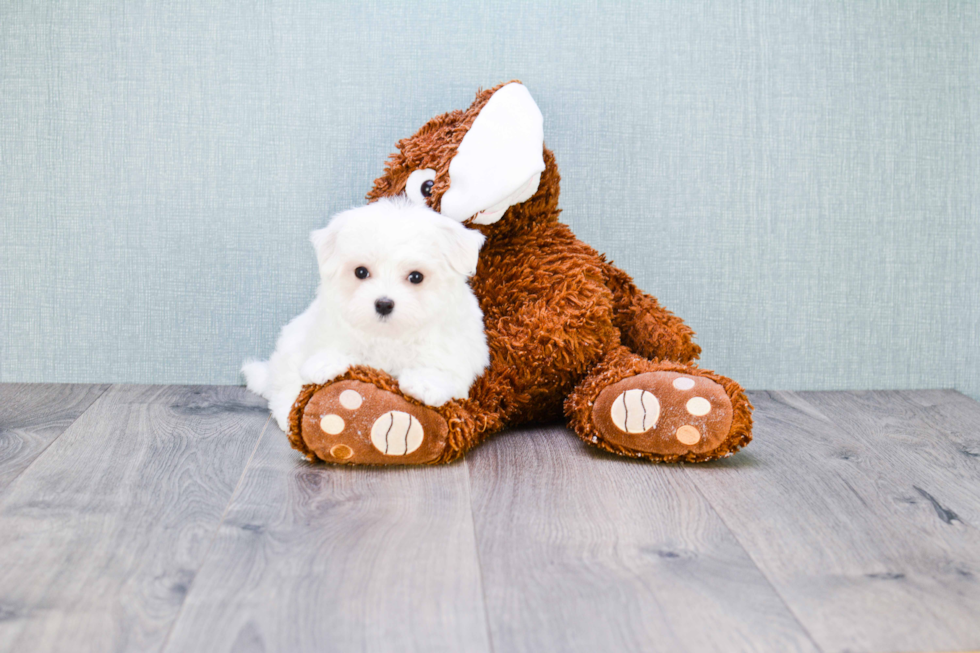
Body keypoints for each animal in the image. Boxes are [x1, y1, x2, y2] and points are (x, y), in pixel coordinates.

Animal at [243, 199, 488, 432]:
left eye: (416, 277)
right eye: (361, 272)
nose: (384, 304)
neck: (388, 335)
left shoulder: (456, 349)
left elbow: (442, 366)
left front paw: (425, 383)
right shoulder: (328, 326)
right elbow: (334, 345)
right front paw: (325, 363)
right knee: (284, 389)